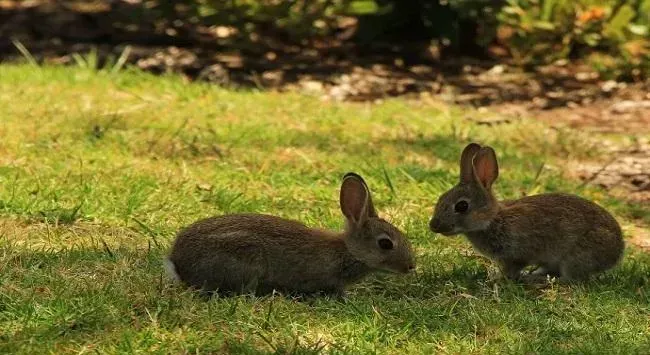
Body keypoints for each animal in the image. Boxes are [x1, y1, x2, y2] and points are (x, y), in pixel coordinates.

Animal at [428, 143, 620, 282]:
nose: (433, 225)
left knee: (571, 278)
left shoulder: (515, 256)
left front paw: (497, 279)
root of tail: (618, 251)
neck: (492, 220)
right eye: (441, 198)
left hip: (576, 257)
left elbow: (512, 269)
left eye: (461, 206)